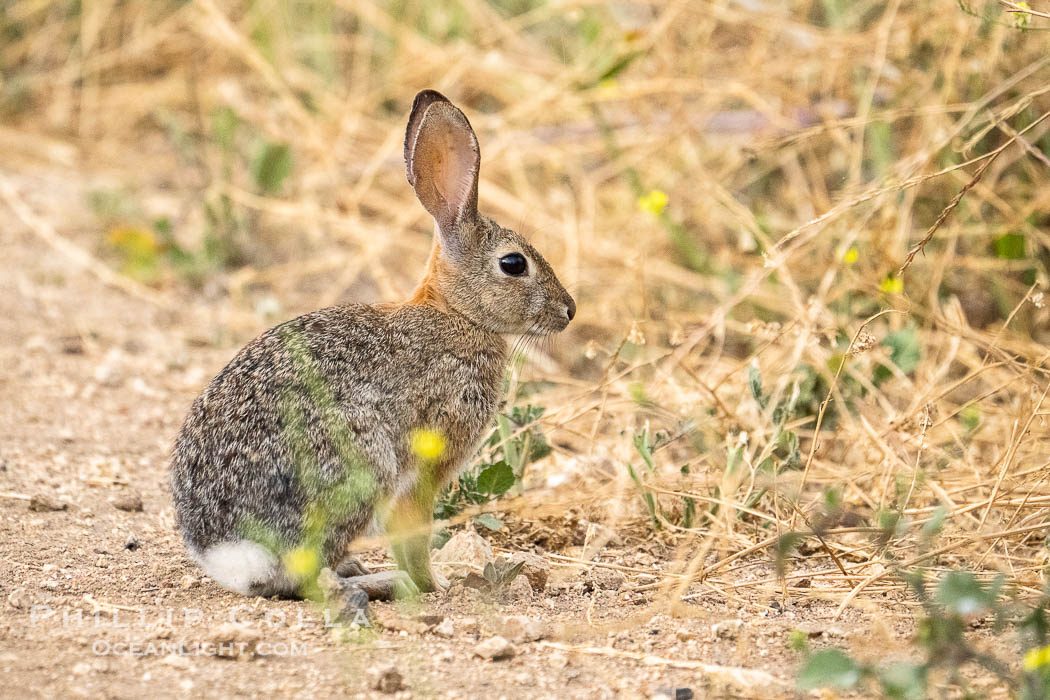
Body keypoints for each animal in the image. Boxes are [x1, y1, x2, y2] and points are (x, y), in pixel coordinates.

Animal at [170, 89, 576, 598]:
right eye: (514, 264)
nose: (569, 310)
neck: (456, 314)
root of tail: (232, 554)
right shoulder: (427, 458)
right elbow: (413, 532)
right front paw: (435, 585)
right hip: (362, 466)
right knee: (308, 575)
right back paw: (383, 580)